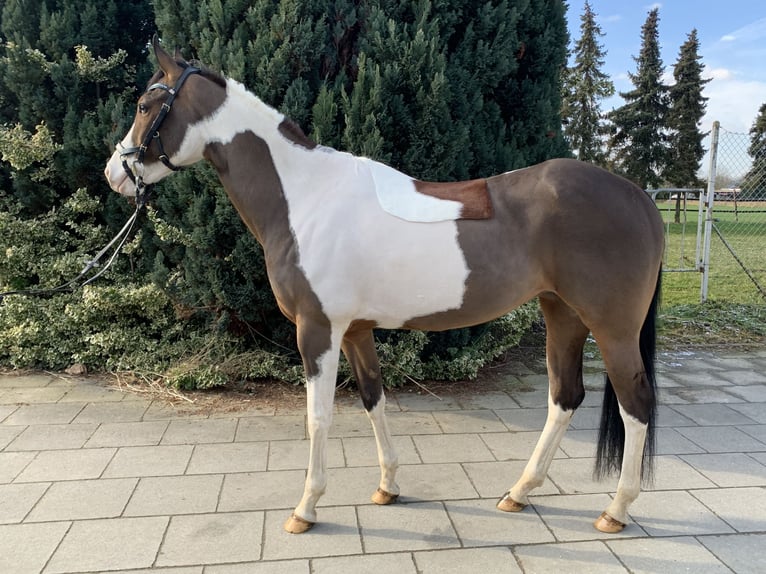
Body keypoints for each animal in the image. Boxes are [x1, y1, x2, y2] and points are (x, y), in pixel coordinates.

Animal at [106, 38, 664, 536]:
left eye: (145, 105)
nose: (116, 172)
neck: (305, 197)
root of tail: (639, 197)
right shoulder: (355, 331)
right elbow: (373, 397)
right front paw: (387, 485)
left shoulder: (317, 330)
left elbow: (319, 417)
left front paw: (306, 507)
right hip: (561, 313)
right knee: (564, 397)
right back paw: (519, 492)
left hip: (612, 329)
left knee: (635, 404)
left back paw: (615, 510)